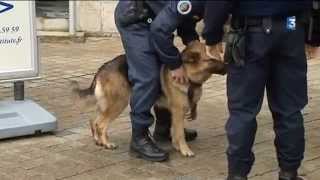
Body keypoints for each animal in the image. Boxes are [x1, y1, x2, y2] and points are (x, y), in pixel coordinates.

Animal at [72, 41, 225, 157]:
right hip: (119, 103)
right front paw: (185, 150)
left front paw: (176, 146)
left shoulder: (177, 112)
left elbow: (176, 131)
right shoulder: (178, 111)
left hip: (107, 103)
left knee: (93, 120)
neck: (188, 75)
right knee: (101, 123)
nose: (228, 66)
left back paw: (98, 141)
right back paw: (107, 143)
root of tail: (103, 67)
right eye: (212, 59)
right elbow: (180, 133)